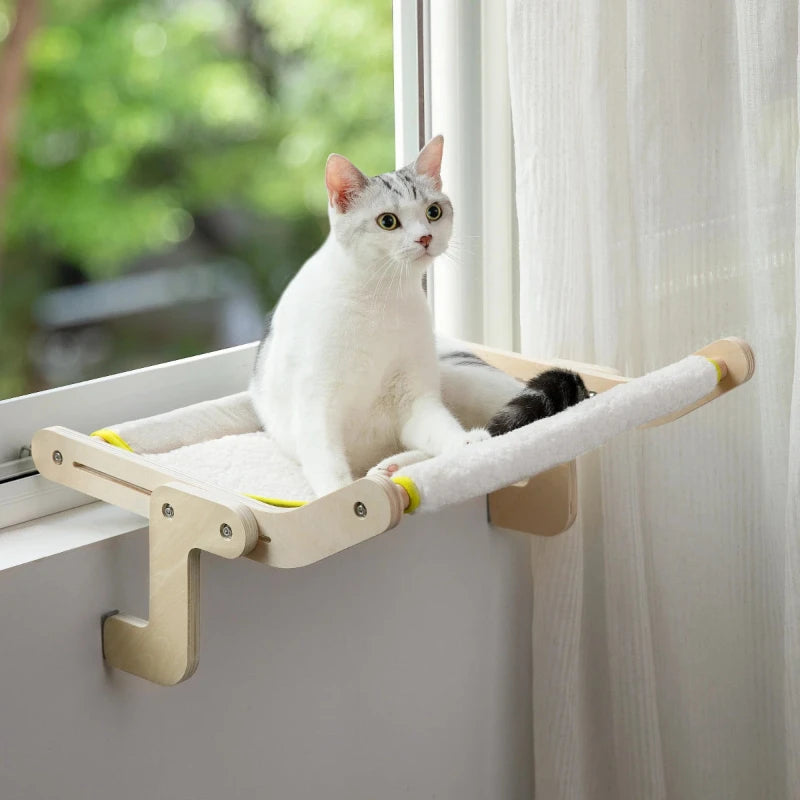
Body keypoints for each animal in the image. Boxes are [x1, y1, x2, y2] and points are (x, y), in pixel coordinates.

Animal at [250, 135, 588, 496]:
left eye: (433, 212)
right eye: (387, 221)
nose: (425, 237)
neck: (381, 300)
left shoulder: (415, 397)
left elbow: (439, 429)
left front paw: (465, 447)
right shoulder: (317, 403)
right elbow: (326, 461)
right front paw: (338, 493)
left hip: (471, 381)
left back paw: (400, 465)